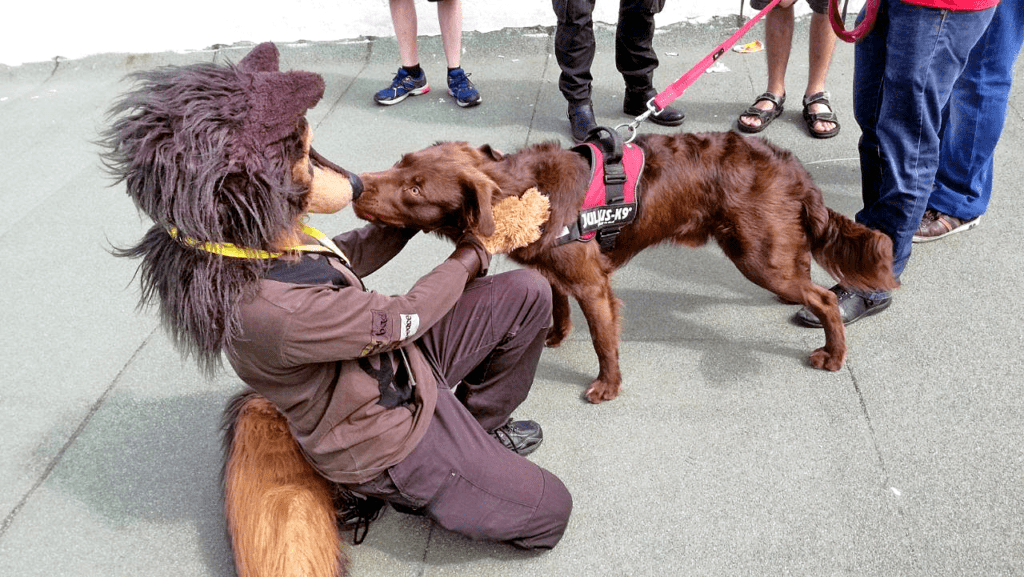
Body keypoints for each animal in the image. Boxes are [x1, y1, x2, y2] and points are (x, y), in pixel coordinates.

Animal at [354, 131, 897, 403]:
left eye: (416, 189)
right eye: (400, 162)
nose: (357, 185)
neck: (527, 192)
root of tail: (792, 165)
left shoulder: (593, 283)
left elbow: (602, 339)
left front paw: (607, 386)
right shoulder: (556, 266)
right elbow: (557, 302)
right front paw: (553, 335)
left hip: (759, 256)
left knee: (823, 296)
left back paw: (833, 354)